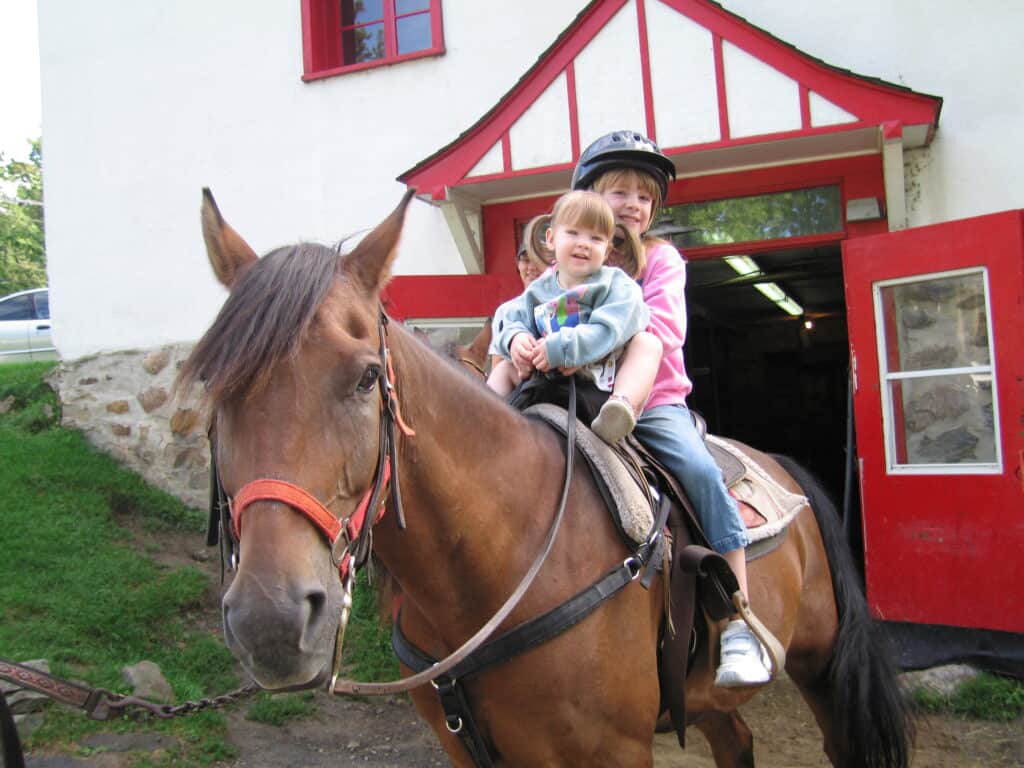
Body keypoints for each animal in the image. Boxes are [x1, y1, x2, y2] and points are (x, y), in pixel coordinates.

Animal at [178, 191, 913, 768]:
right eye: (213, 386)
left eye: (365, 377)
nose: (271, 622)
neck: (501, 561)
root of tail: (789, 471)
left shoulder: (614, 752)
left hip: (822, 668)